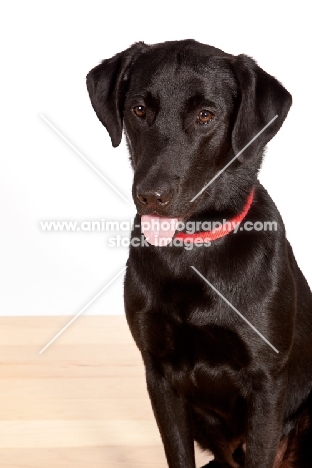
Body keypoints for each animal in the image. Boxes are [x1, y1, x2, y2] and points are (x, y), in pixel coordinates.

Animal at [86, 39, 312, 468]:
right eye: (139, 109)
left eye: (205, 116)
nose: (151, 195)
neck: (191, 252)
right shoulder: (159, 375)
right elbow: (178, 454)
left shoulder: (266, 383)